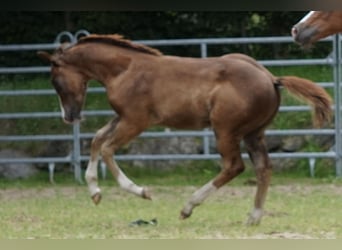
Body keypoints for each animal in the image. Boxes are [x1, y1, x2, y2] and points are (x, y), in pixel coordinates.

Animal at [36, 34, 332, 226]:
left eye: (55, 80)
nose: (69, 117)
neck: (125, 69)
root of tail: (271, 78)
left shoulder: (136, 120)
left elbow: (107, 149)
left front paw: (141, 191)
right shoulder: (122, 117)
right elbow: (97, 140)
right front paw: (95, 192)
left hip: (225, 130)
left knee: (234, 166)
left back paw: (189, 206)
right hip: (253, 133)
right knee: (263, 167)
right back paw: (253, 216)